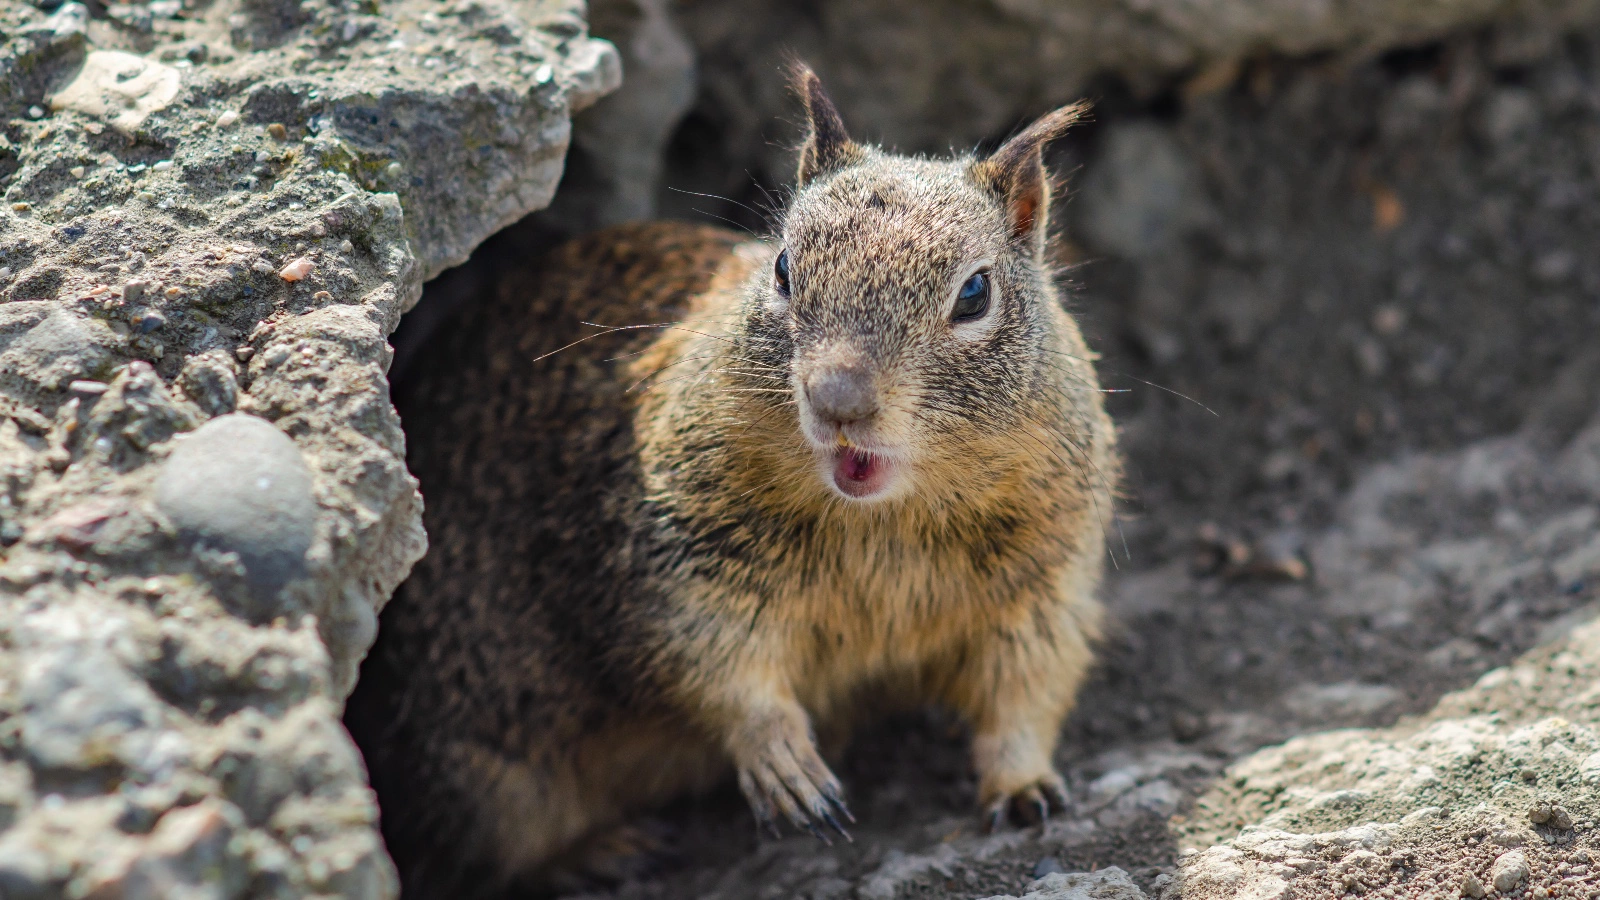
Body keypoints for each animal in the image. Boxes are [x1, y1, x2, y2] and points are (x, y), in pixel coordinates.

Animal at [347, 66, 1126, 890]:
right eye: (782, 268)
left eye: (975, 294)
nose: (836, 398)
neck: (883, 520)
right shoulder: (676, 558)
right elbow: (717, 668)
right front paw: (786, 764)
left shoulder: (1046, 584)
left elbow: (1027, 689)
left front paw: (1024, 785)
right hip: (486, 772)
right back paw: (605, 849)